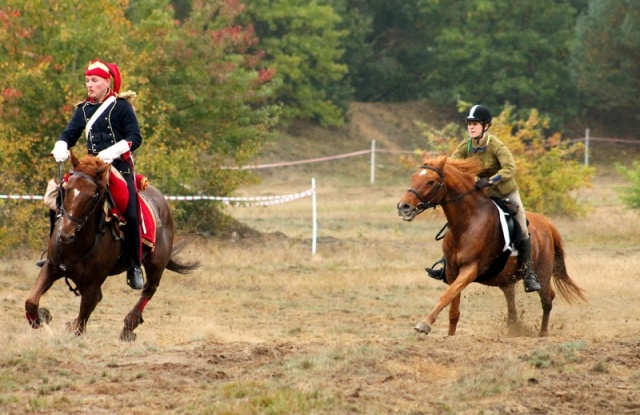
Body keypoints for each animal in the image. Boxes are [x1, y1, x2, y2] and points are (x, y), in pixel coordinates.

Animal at [25, 153, 200, 342]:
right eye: (67, 189)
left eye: (92, 196)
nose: (65, 233)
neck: (79, 243)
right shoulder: (52, 267)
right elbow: (31, 301)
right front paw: (39, 318)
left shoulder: (92, 286)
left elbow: (80, 325)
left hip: (156, 264)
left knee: (149, 290)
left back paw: (129, 326)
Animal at [398, 156, 588, 338]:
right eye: (413, 177)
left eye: (430, 181)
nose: (403, 207)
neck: (467, 222)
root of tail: (546, 222)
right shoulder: (452, 271)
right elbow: (453, 308)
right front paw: (450, 336)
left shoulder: (471, 269)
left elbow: (446, 296)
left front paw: (424, 324)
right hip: (507, 279)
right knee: (512, 304)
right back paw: (514, 330)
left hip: (542, 272)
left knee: (547, 299)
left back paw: (542, 333)